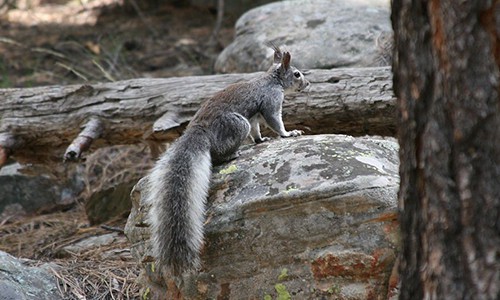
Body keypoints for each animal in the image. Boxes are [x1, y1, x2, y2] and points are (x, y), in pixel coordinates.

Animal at [144, 44, 308, 274]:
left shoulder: (255, 118)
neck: (271, 80)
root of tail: (198, 131)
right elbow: (275, 121)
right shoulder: (271, 101)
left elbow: (257, 130)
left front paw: (261, 139)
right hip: (236, 125)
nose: (307, 84)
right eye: (297, 74)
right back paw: (232, 153)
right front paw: (288, 133)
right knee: (219, 155)